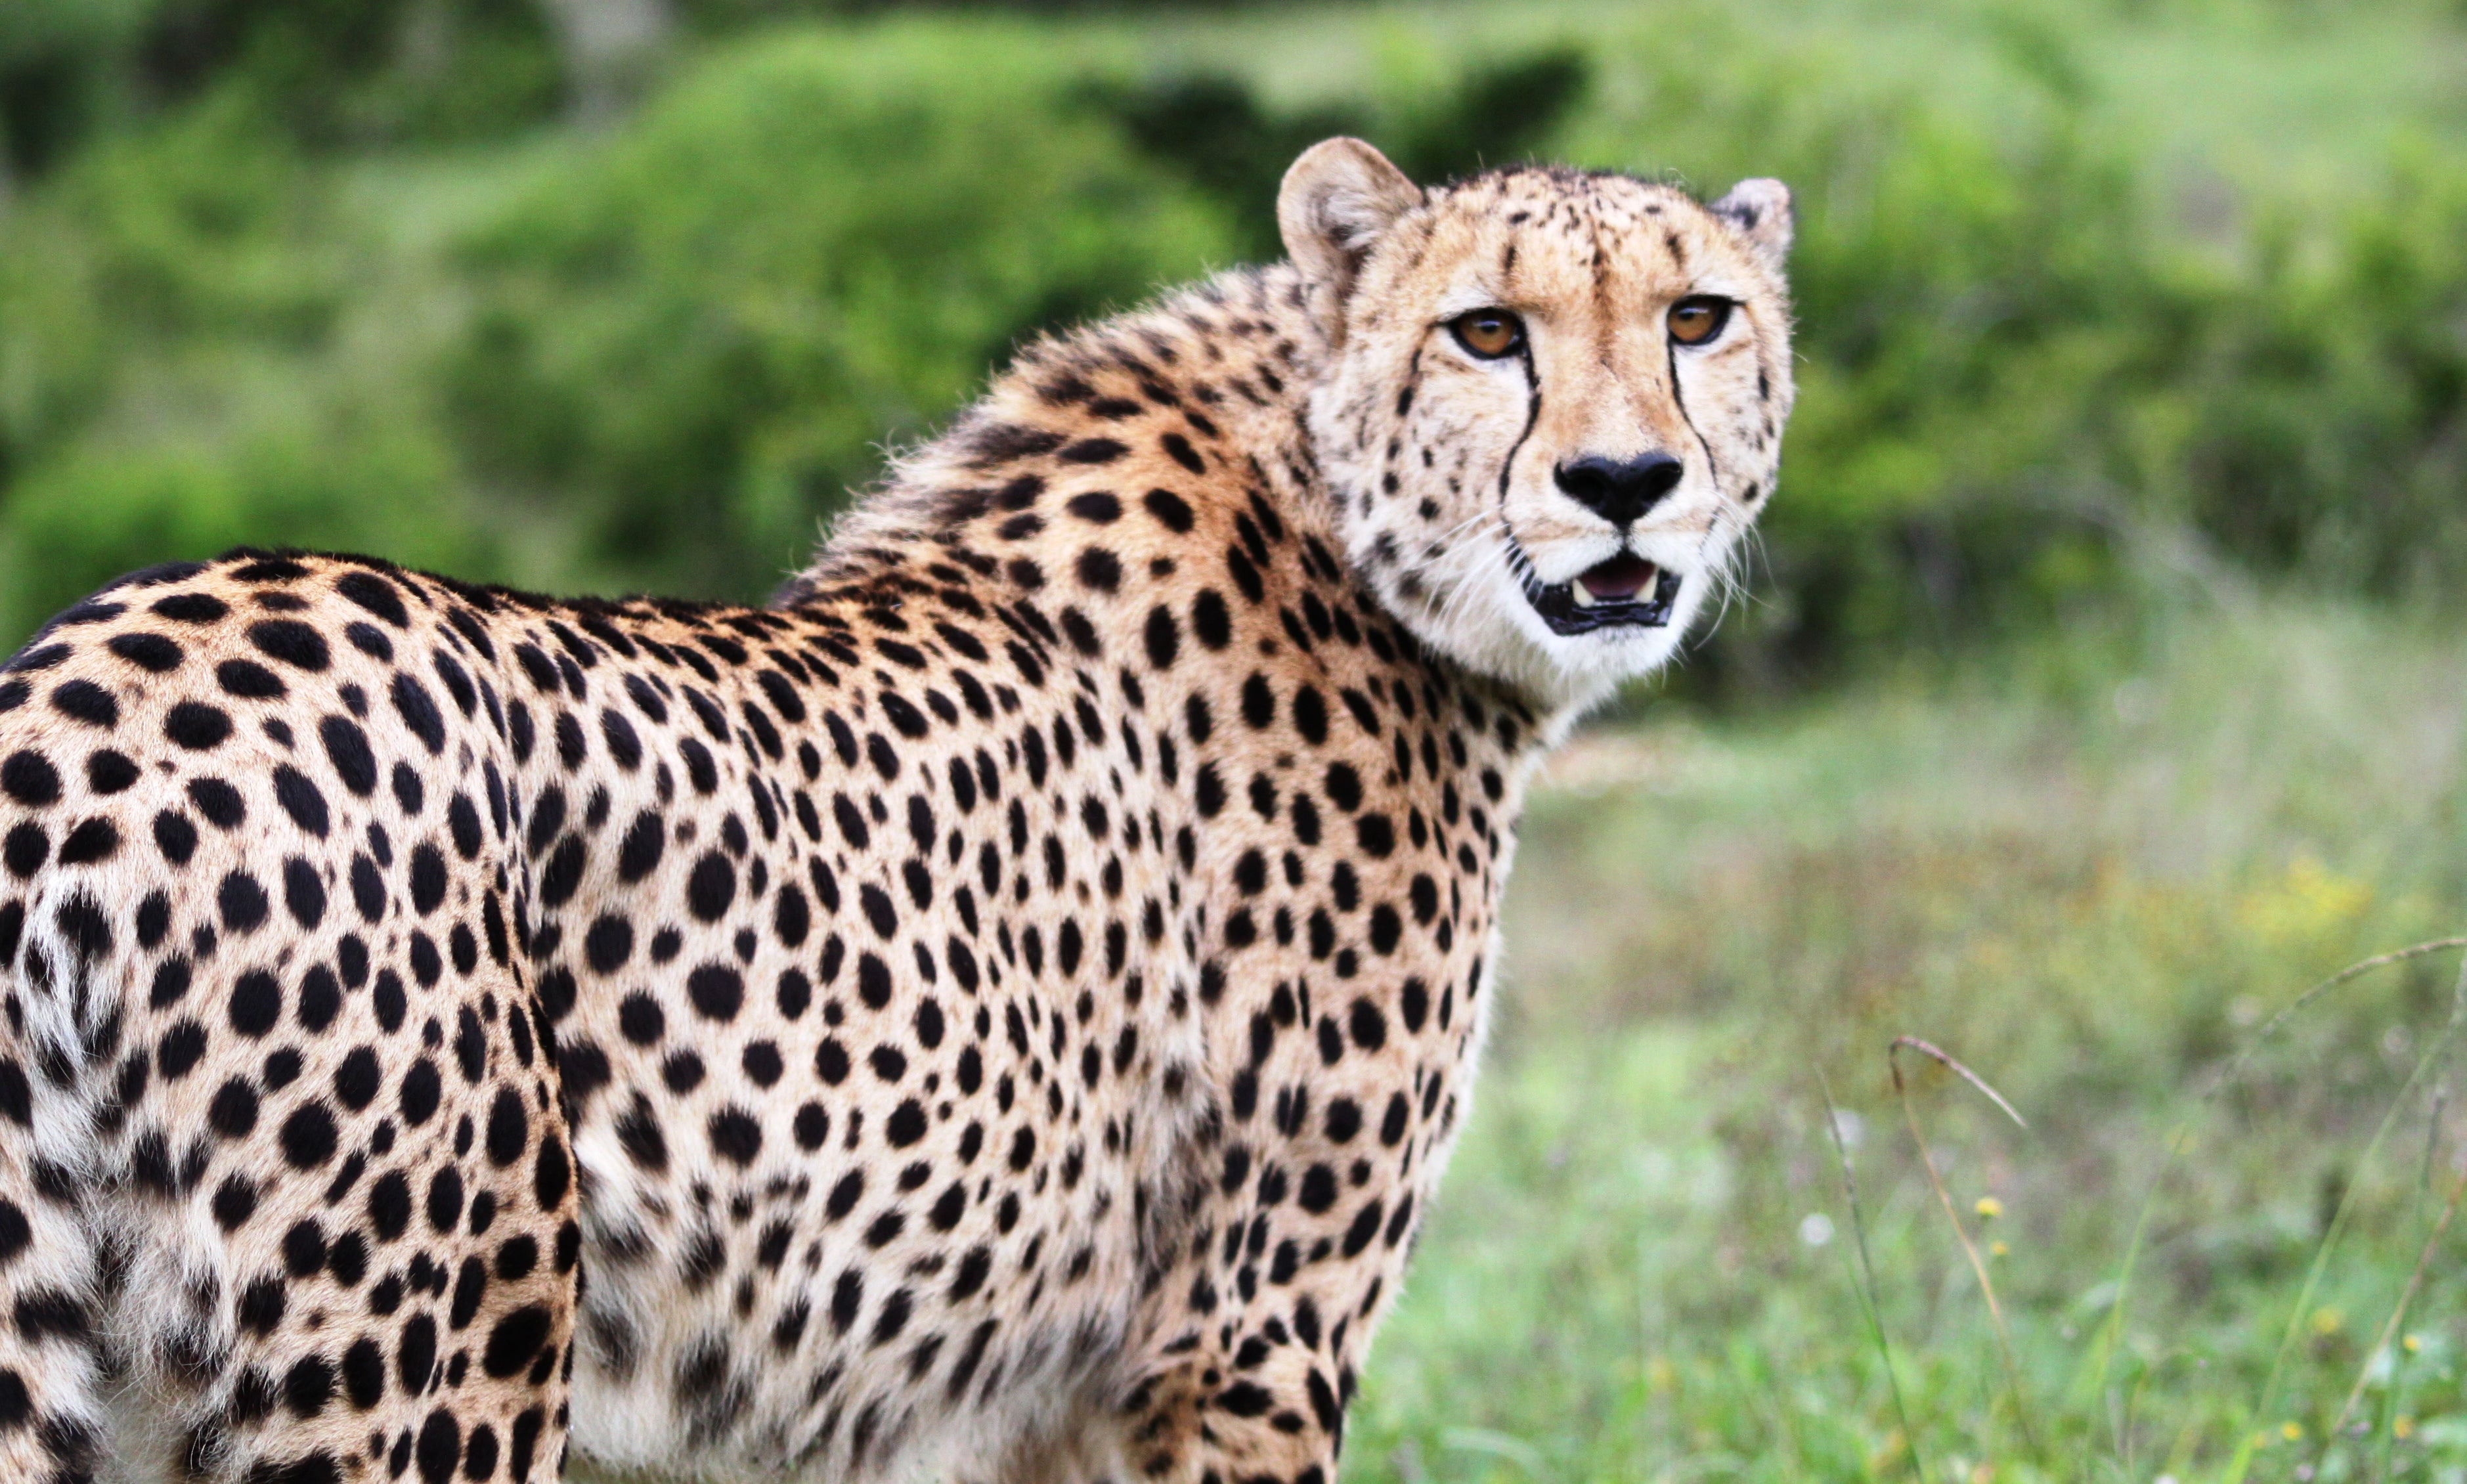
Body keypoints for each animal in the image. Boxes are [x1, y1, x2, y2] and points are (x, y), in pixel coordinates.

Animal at [0, 137, 1793, 1484]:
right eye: (1486, 331)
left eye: (1698, 316)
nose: (1624, 484)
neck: (1336, 517)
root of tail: (78, 692)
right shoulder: (1235, 1341)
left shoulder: (1033, 1389)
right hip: (429, 1373)